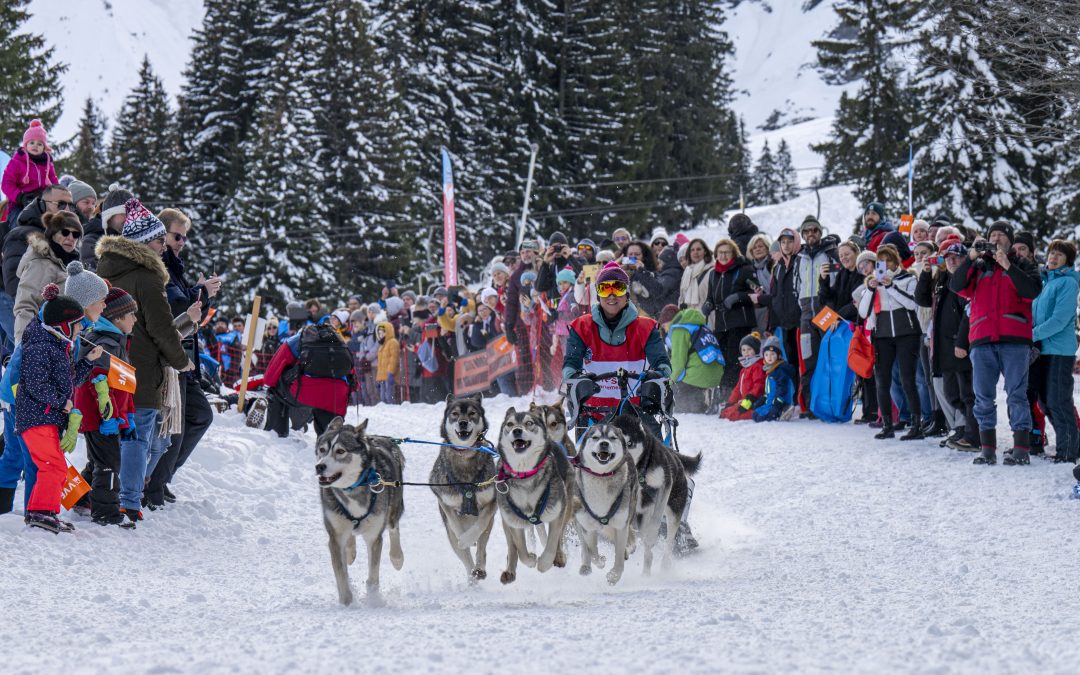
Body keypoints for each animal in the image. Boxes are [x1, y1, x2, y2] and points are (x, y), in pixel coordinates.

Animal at [319, 416, 408, 604]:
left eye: (340, 451)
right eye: (322, 450)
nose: (319, 467)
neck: (351, 489)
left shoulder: (374, 536)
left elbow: (373, 576)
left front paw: (373, 598)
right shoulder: (335, 537)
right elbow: (341, 574)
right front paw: (346, 602)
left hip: (393, 509)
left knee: (394, 528)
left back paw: (397, 557)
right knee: (350, 537)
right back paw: (350, 551)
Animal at [429, 395, 496, 578]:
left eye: (472, 413)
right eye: (455, 414)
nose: (463, 422)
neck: (465, 454)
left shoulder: (491, 502)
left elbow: (480, 525)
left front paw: (468, 538)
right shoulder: (444, 500)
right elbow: (455, 525)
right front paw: (463, 538)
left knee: (481, 547)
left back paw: (479, 569)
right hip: (450, 535)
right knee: (465, 559)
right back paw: (472, 574)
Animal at [494, 408, 574, 583]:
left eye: (529, 423)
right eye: (510, 424)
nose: (517, 430)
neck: (524, 474)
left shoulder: (558, 513)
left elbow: (553, 542)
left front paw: (544, 563)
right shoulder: (513, 522)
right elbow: (521, 551)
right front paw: (531, 559)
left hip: (566, 506)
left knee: (559, 538)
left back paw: (559, 557)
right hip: (506, 519)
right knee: (512, 548)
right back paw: (510, 570)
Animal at [570, 423, 635, 583]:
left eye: (612, 437)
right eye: (595, 437)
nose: (604, 443)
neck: (601, 476)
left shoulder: (621, 524)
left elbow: (619, 552)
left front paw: (615, 575)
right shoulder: (587, 526)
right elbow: (591, 549)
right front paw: (600, 561)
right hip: (578, 520)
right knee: (585, 548)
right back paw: (585, 566)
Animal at [613, 412, 704, 570]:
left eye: (629, 444)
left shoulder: (664, 486)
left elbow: (655, 522)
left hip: (674, 510)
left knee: (668, 540)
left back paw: (665, 564)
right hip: (643, 516)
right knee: (647, 547)